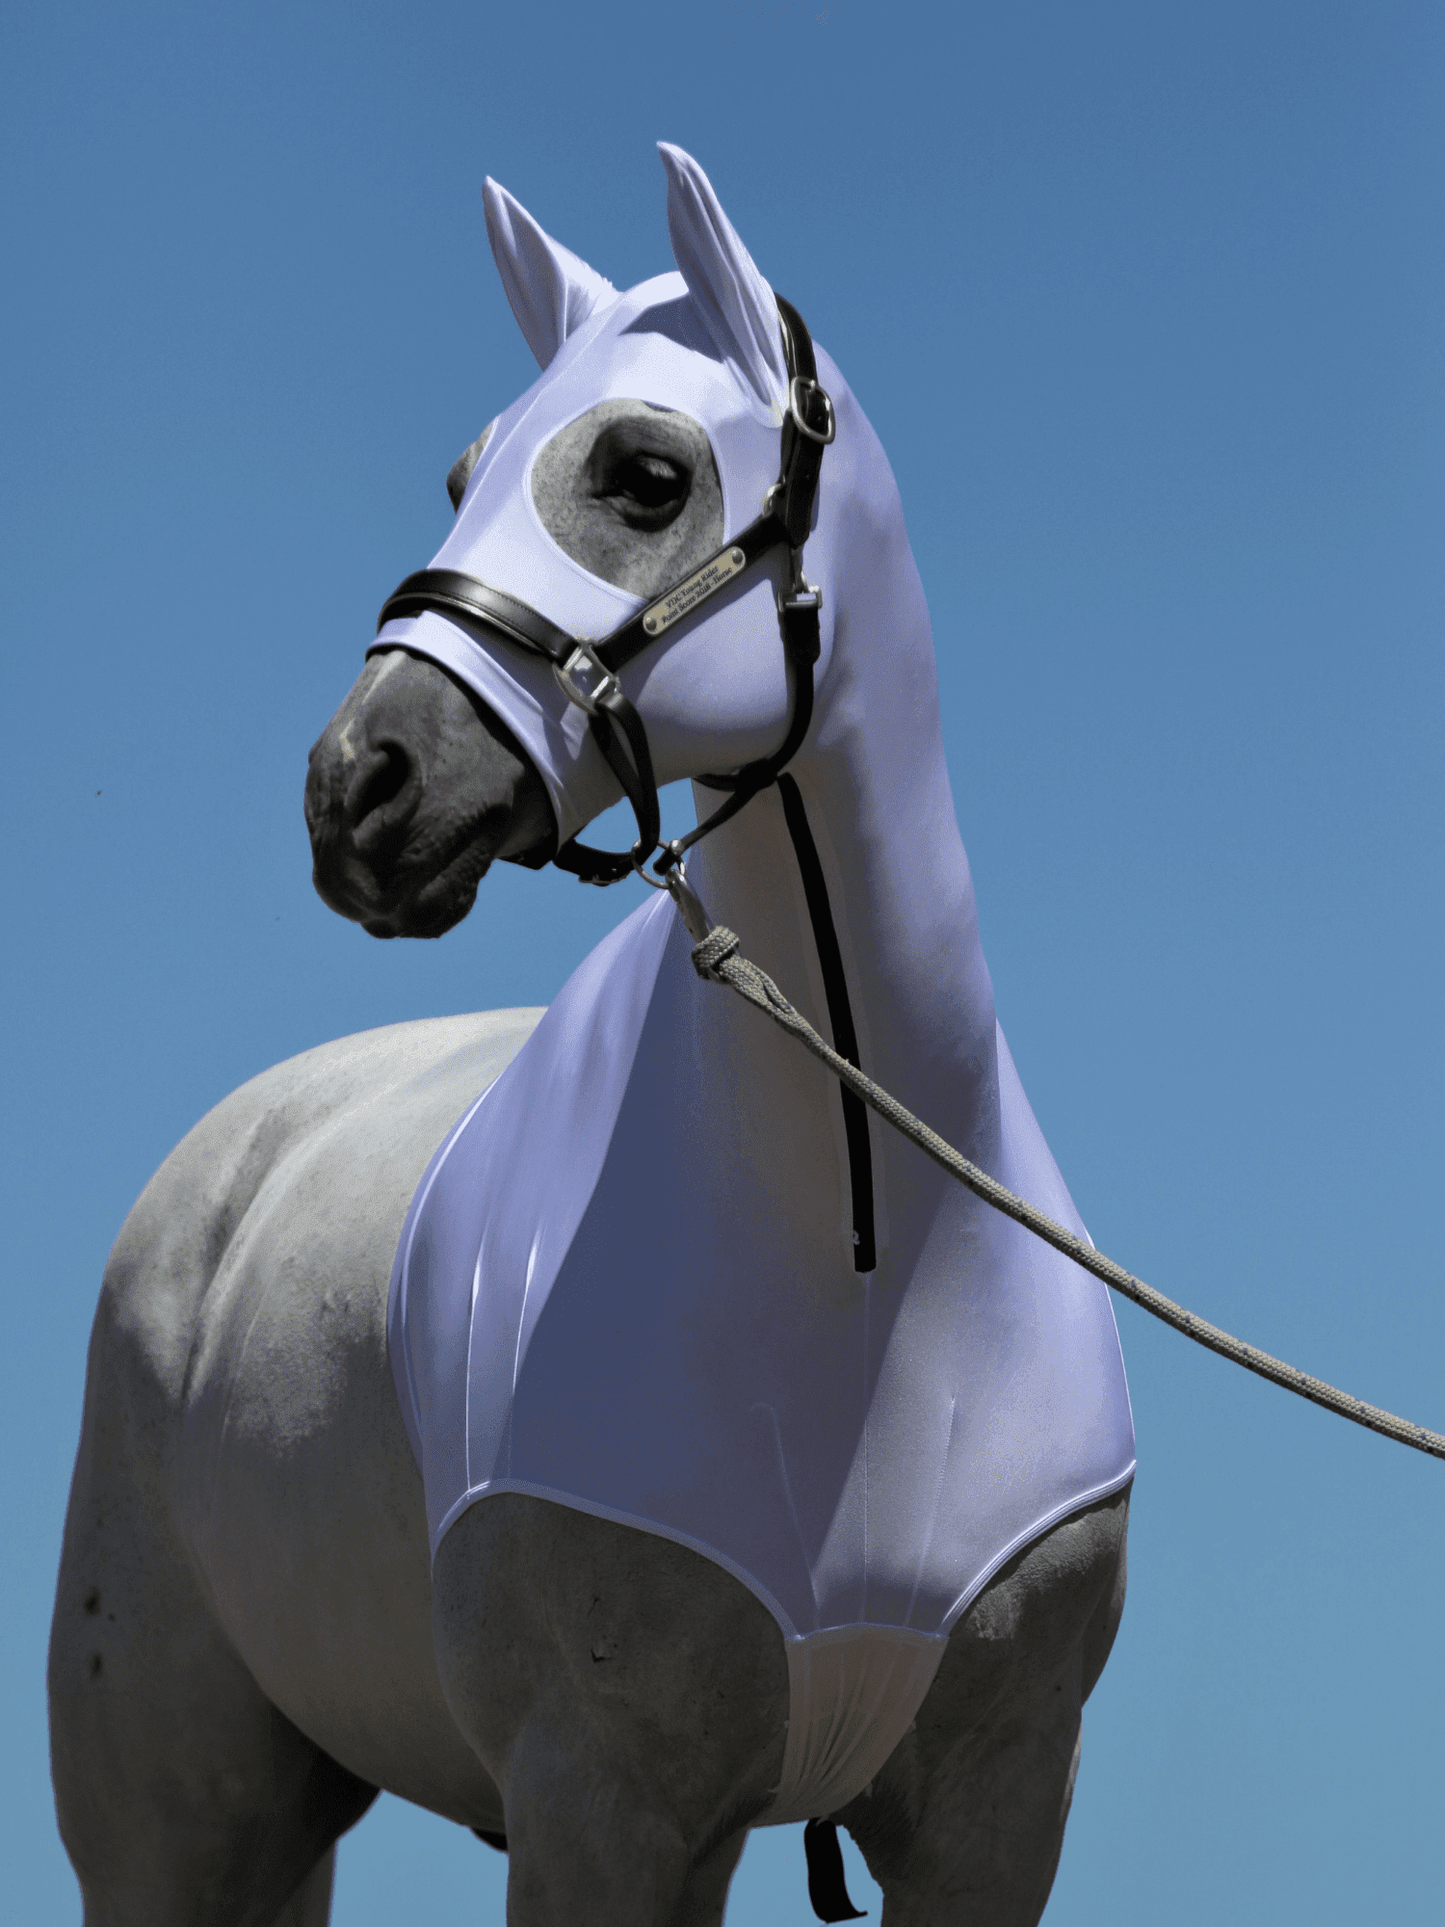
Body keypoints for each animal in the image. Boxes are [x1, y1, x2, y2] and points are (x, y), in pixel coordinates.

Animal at [48, 158, 1132, 1919]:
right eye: (462, 469)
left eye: (642, 473)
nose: (358, 789)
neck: (863, 1246)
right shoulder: (601, 1798)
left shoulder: (995, 1804)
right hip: (185, 1814)